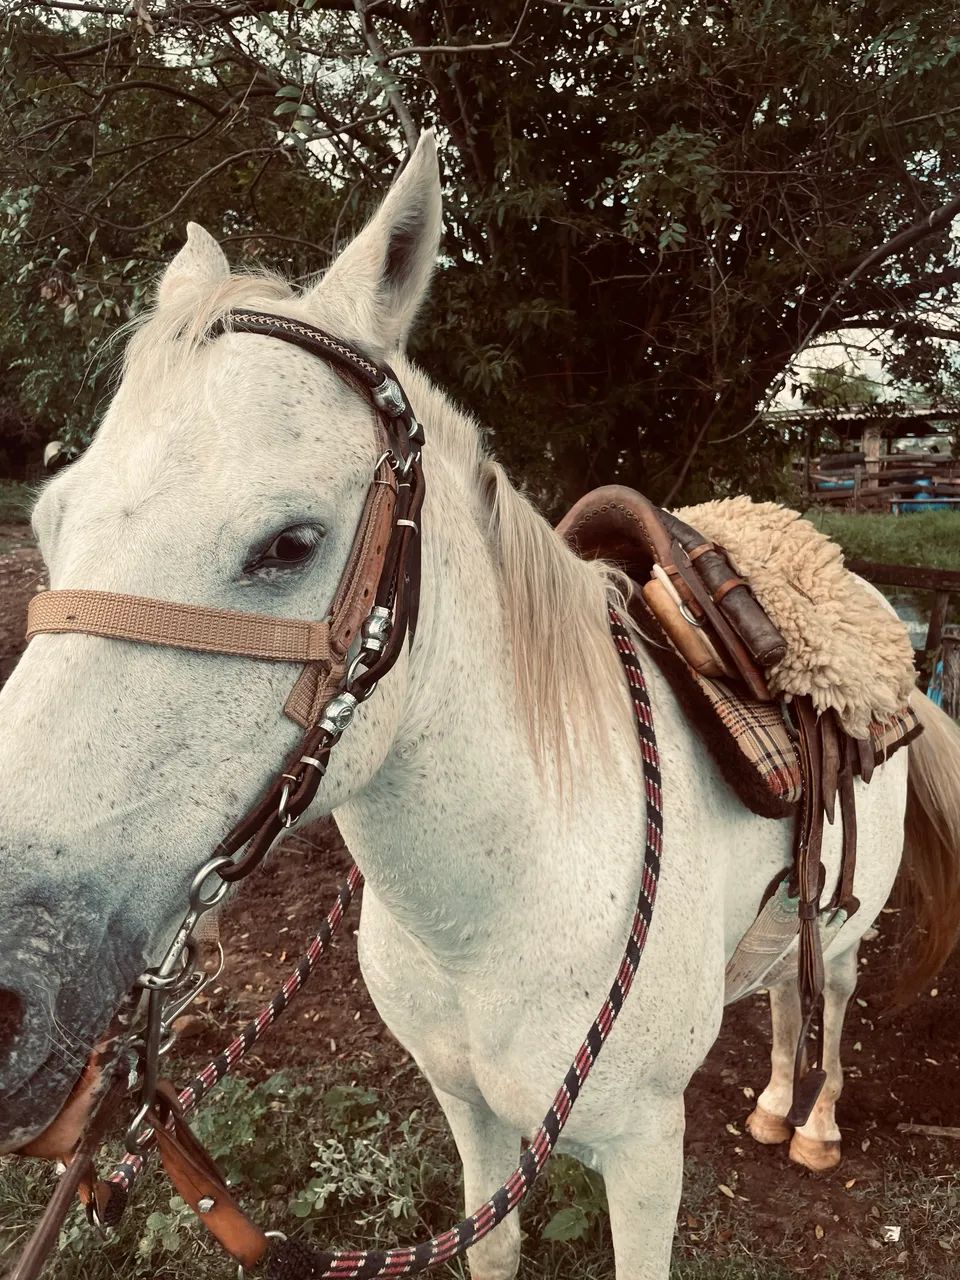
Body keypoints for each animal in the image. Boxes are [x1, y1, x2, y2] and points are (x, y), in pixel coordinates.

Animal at [1, 132, 959, 1280]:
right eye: (51, 520)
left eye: (290, 544)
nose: (12, 996)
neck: (501, 901)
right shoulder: (470, 1112)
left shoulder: (647, 1153)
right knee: (781, 982)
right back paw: (773, 1100)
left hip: (854, 923)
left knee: (834, 991)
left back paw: (809, 1121)